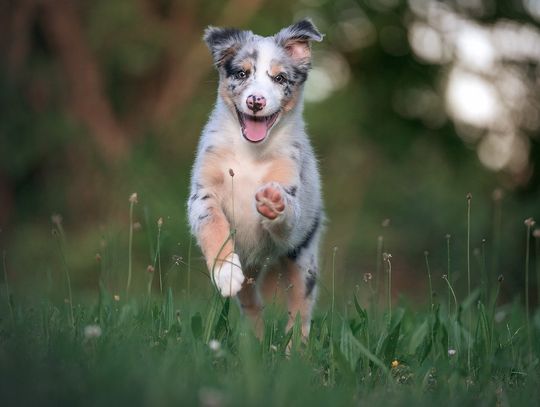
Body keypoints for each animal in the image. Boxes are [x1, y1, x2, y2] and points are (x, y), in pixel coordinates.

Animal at [188, 19, 322, 338]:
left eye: (280, 78)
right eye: (241, 73)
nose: (256, 101)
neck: (249, 152)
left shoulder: (292, 186)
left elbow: (286, 211)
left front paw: (274, 203)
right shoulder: (202, 192)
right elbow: (212, 224)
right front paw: (225, 271)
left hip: (304, 258)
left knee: (300, 311)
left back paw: (292, 348)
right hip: (248, 268)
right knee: (251, 303)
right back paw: (253, 339)